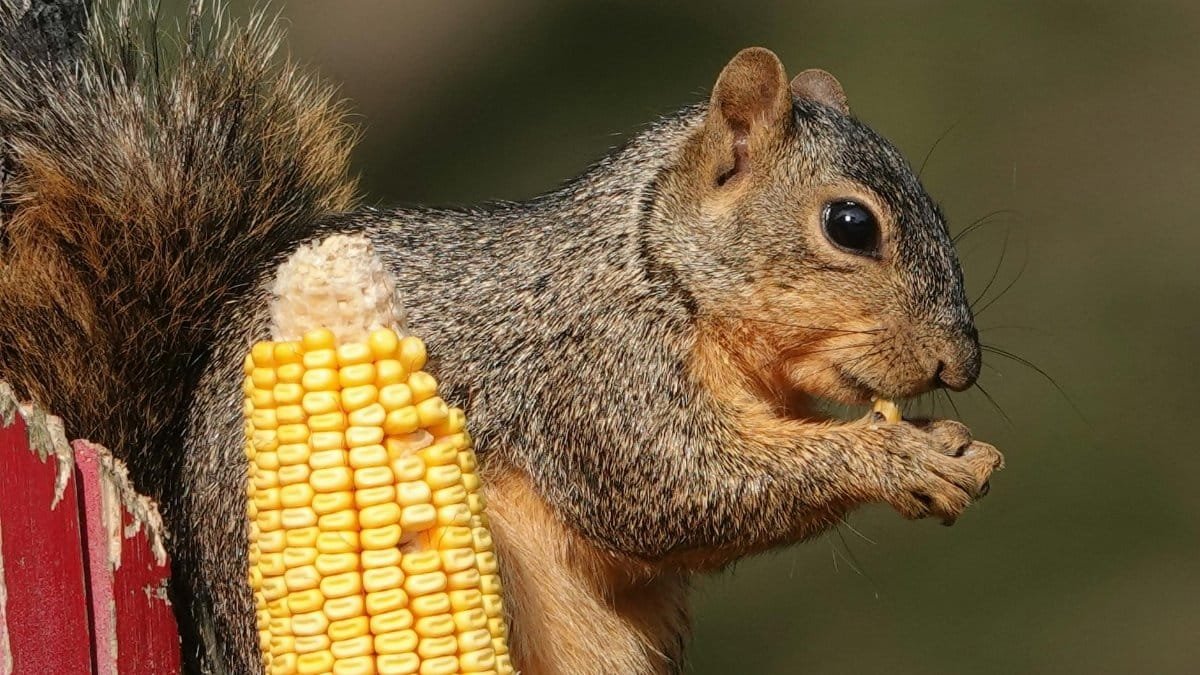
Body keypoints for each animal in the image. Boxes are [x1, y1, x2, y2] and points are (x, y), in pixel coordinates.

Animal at [0, 2, 1003, 674]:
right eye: (850, 224)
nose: (961, 365)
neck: (655, 264)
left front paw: (947, 439)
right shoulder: (594, 369)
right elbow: (674, 490)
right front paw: (896, 457)